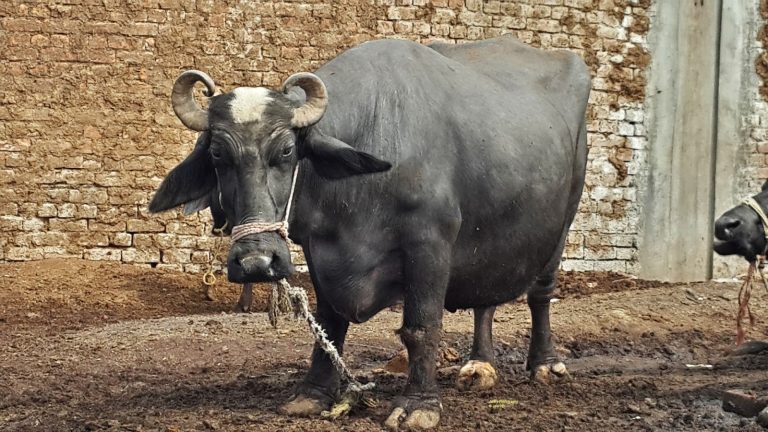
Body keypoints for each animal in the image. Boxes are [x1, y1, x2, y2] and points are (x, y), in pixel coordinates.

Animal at [149, 35, 591, 429]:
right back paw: (480, 364)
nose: (257, 261)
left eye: (288, 150)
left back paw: (546, 364)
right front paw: (313, 393)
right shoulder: (319, 251)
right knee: (486, 297)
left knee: (540, 293)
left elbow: (421, 326)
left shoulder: (430, 243)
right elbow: (328, 325)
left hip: (564, 220)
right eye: (217, 153)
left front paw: (418, 405)